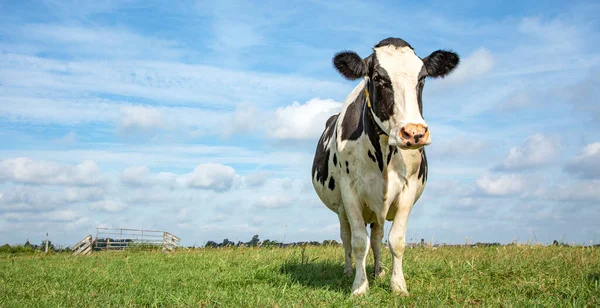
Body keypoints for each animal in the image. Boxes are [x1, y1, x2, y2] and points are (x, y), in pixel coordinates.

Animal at [310, 37, 460, 294]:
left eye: (422, 78)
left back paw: (378, 271)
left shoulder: (408, 189)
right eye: (378, 78)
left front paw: (398, 285)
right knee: (346, 237)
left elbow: (395, 240)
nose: (414, 133)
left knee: (378, 238)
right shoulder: (349, 191)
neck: (382, 153)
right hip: (341, 208)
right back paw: (348, 270)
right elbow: (359, 242)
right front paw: (359, 287)